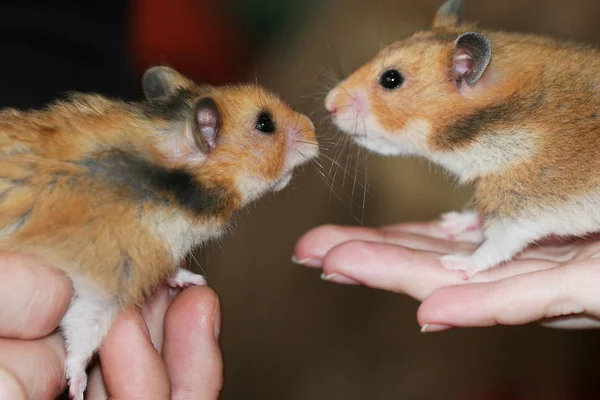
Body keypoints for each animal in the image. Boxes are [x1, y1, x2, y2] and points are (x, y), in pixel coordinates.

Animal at [0, 66, 318, 400]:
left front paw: (194, 281)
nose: (313, 130)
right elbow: (83, 331)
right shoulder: (111, 279)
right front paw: (77, 389)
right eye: (265, 123)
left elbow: (171, 270)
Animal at [324, 0, 600, 278]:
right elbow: (477, 215)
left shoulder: (518, 206)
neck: (496, 124)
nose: (329, 105)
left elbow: (496, 246)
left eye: (391, 79)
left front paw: (454, 263)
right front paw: (451, 223)